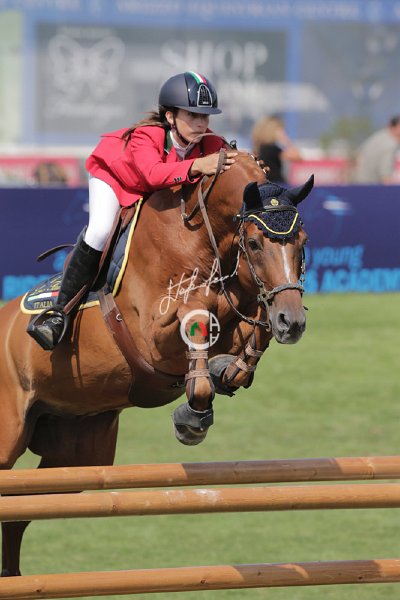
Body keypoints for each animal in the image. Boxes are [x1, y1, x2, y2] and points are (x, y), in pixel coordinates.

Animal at [0, 150, 312, 576]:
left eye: (303, 242)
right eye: (253, 242)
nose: (292, 322)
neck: (199, 233)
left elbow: (246, 329)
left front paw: (226, 372)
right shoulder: (150, 335)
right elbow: (198, 316)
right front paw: (191, 419)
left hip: (77, 454)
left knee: (19, 511)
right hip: (9, 436)